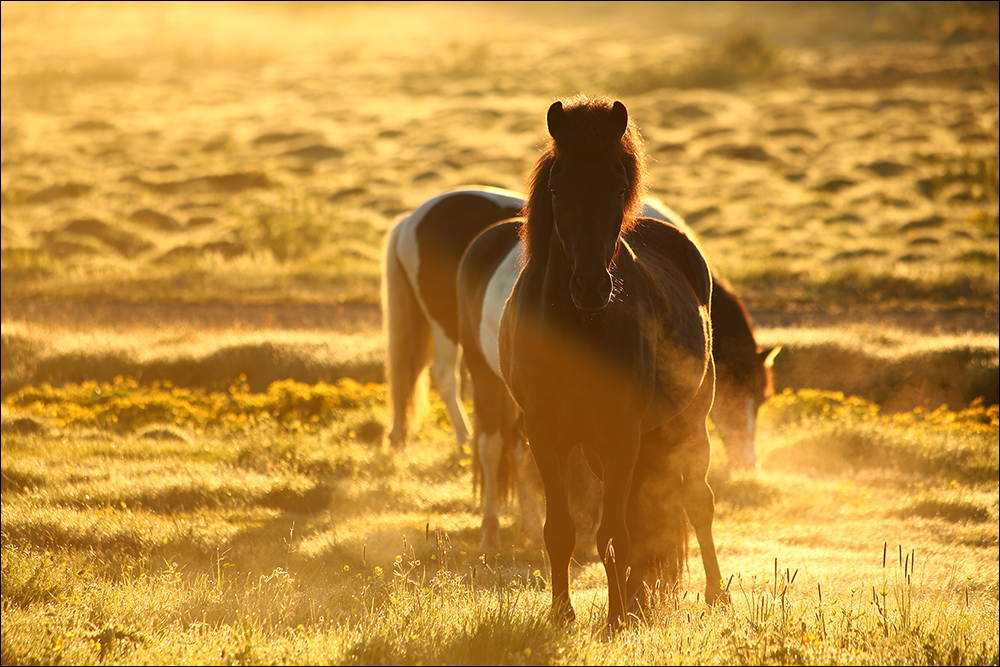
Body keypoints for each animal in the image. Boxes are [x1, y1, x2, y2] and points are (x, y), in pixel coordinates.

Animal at [500, 96, 728, 628]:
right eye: (558, 187)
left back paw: (712, 595)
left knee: (697, 502)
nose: (589, 288)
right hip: (608, 450)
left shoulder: (623, 432)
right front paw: (564, 614)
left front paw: (617, 619)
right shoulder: (546, 433)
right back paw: (641, 596)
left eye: (618, 187)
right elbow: (563, 531)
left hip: (688, 425)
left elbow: (613, 534)